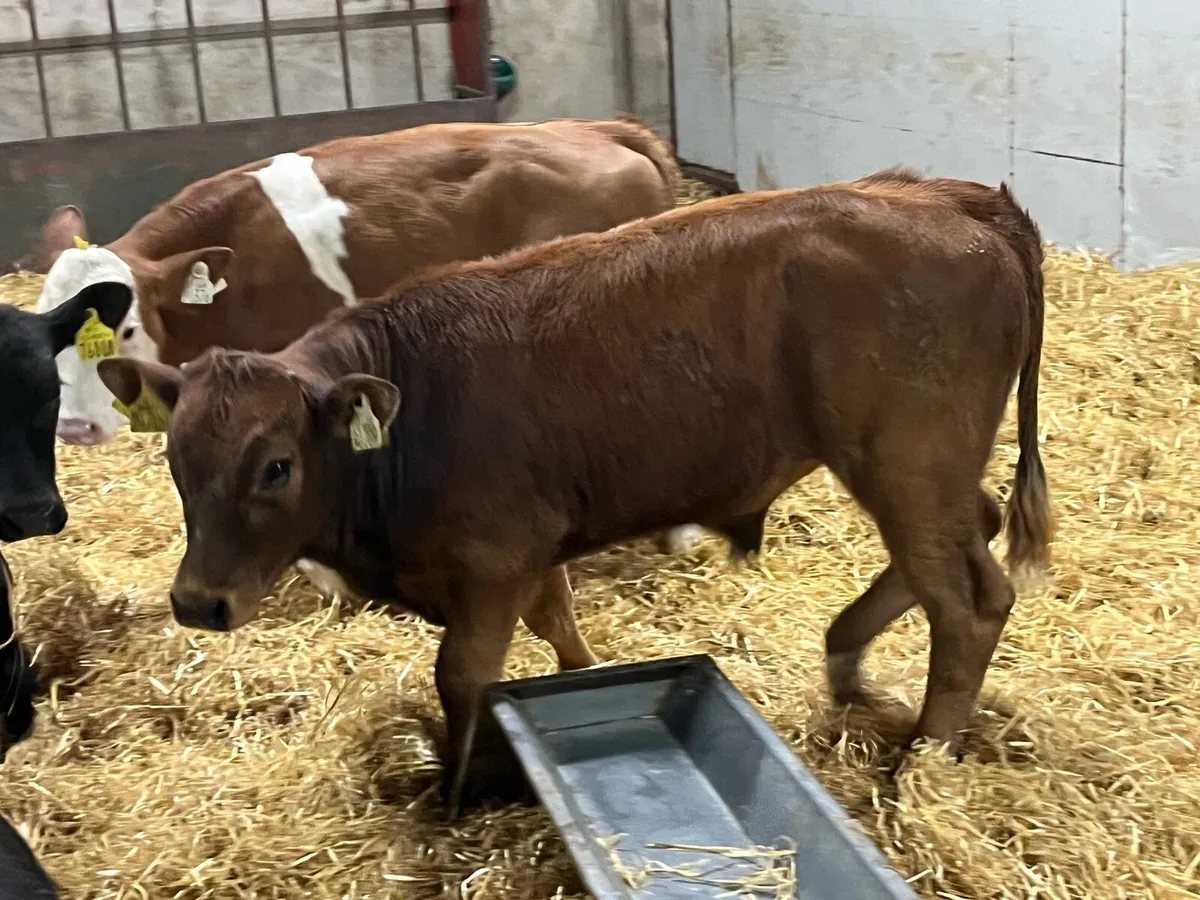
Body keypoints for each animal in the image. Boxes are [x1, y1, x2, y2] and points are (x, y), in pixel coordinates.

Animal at [96, 168, 1054, 814]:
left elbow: (464, 676)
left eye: (276, 467)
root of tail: (951, 197)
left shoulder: (491, 563)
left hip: (909, 462)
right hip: (925, 472)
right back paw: (848, 660)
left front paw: (461, 789)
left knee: (967, 600)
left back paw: (925, 757)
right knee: (967, 540)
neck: (412, 408)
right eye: (177, 461)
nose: (198, 602)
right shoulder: (531, 545)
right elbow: (557, 623)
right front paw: (576, 685)